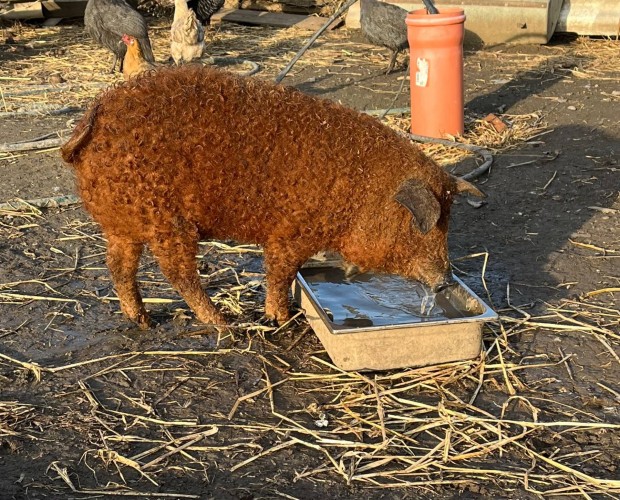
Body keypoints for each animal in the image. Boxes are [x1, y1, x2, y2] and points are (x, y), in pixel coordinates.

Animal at [61, 64, 484, 328]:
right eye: (426, 225)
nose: (446, 280)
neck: (359, 188)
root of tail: (97, 112)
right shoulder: (289, 234)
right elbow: (280, 275)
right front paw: (280, 319)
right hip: (168, 223)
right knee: (178, 273)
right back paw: (224, 323)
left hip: (124, 223)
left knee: (119, 267)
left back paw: (144, 321)